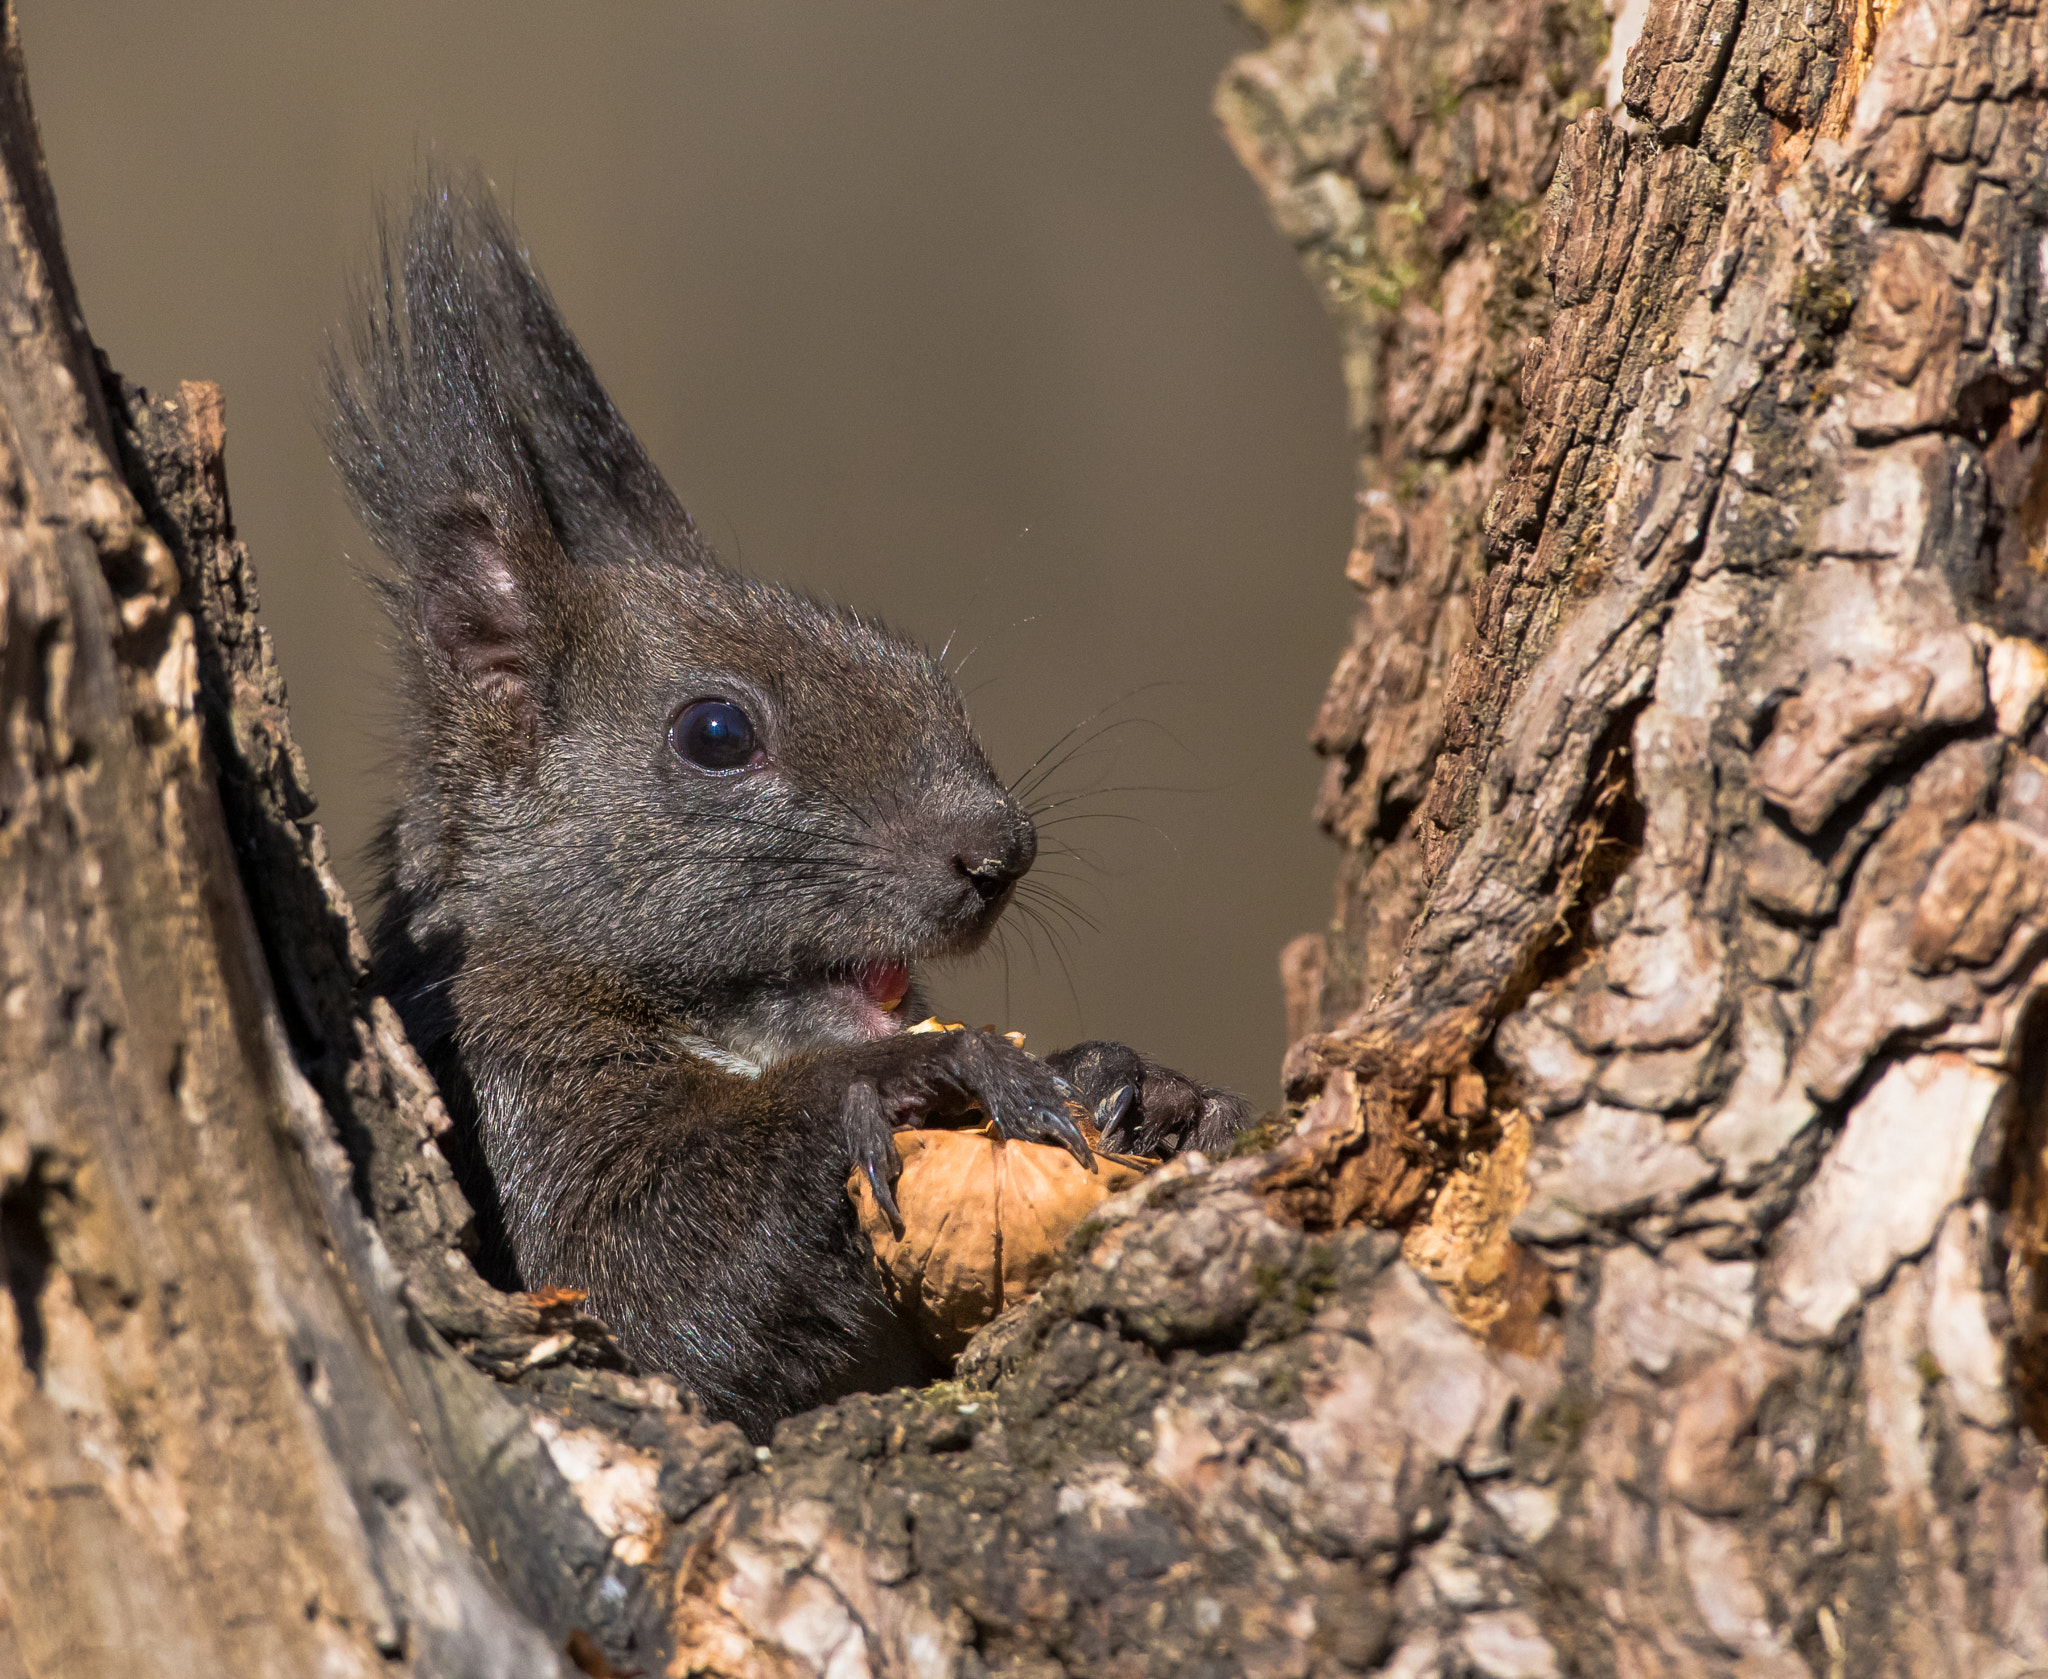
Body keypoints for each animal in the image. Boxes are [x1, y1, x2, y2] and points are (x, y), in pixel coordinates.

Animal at [333, 180, 1245, 1441]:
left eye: (917, 668)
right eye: (715, 734)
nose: (997, 852)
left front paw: (1144, 1088)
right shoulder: (499, 1085)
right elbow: (631, 1286)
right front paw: (908, 1076)